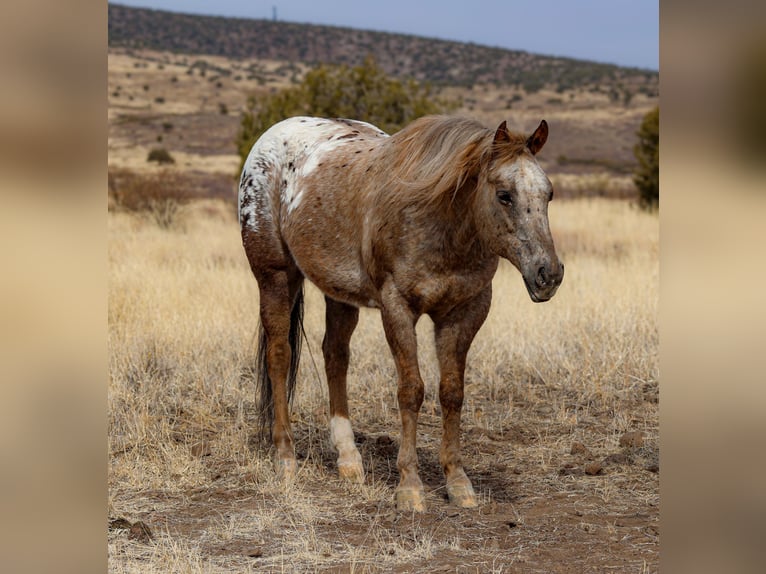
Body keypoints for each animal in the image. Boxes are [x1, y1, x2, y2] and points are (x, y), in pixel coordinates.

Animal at [240, 115, 564, 510]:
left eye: (548, 194)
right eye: (505, 195)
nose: (548, 274)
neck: (442, 224)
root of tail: (272, 136)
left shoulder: (465, 312)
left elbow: (452, 392)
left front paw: (458, 482)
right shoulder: (397, 308)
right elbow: (411, 390)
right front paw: (409, 486)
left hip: (340, 294)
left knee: (335, 357)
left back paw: (349, 460)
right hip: (275, 276)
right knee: (279, 356)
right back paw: (285, 458)